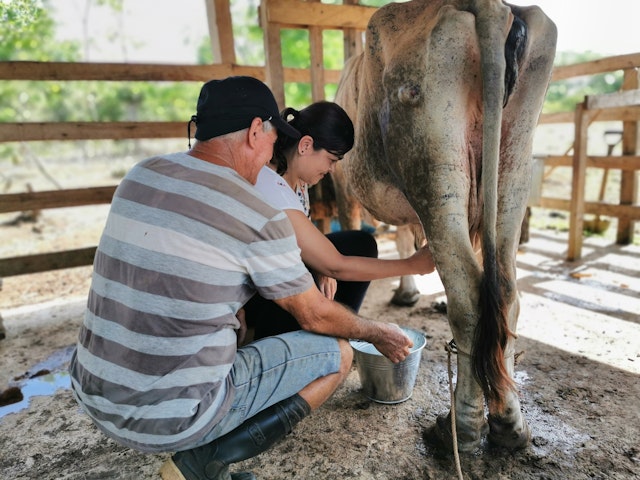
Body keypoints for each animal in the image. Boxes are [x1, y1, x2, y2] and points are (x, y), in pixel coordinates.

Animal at [332, 0, 556, 454]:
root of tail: (489, 6)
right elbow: (403, 236)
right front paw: (407, 292)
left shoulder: (344, 184)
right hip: (514, 162)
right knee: (506, 293)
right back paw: (509, 424)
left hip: (431, 161)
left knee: (468, 298)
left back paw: (460, 428)